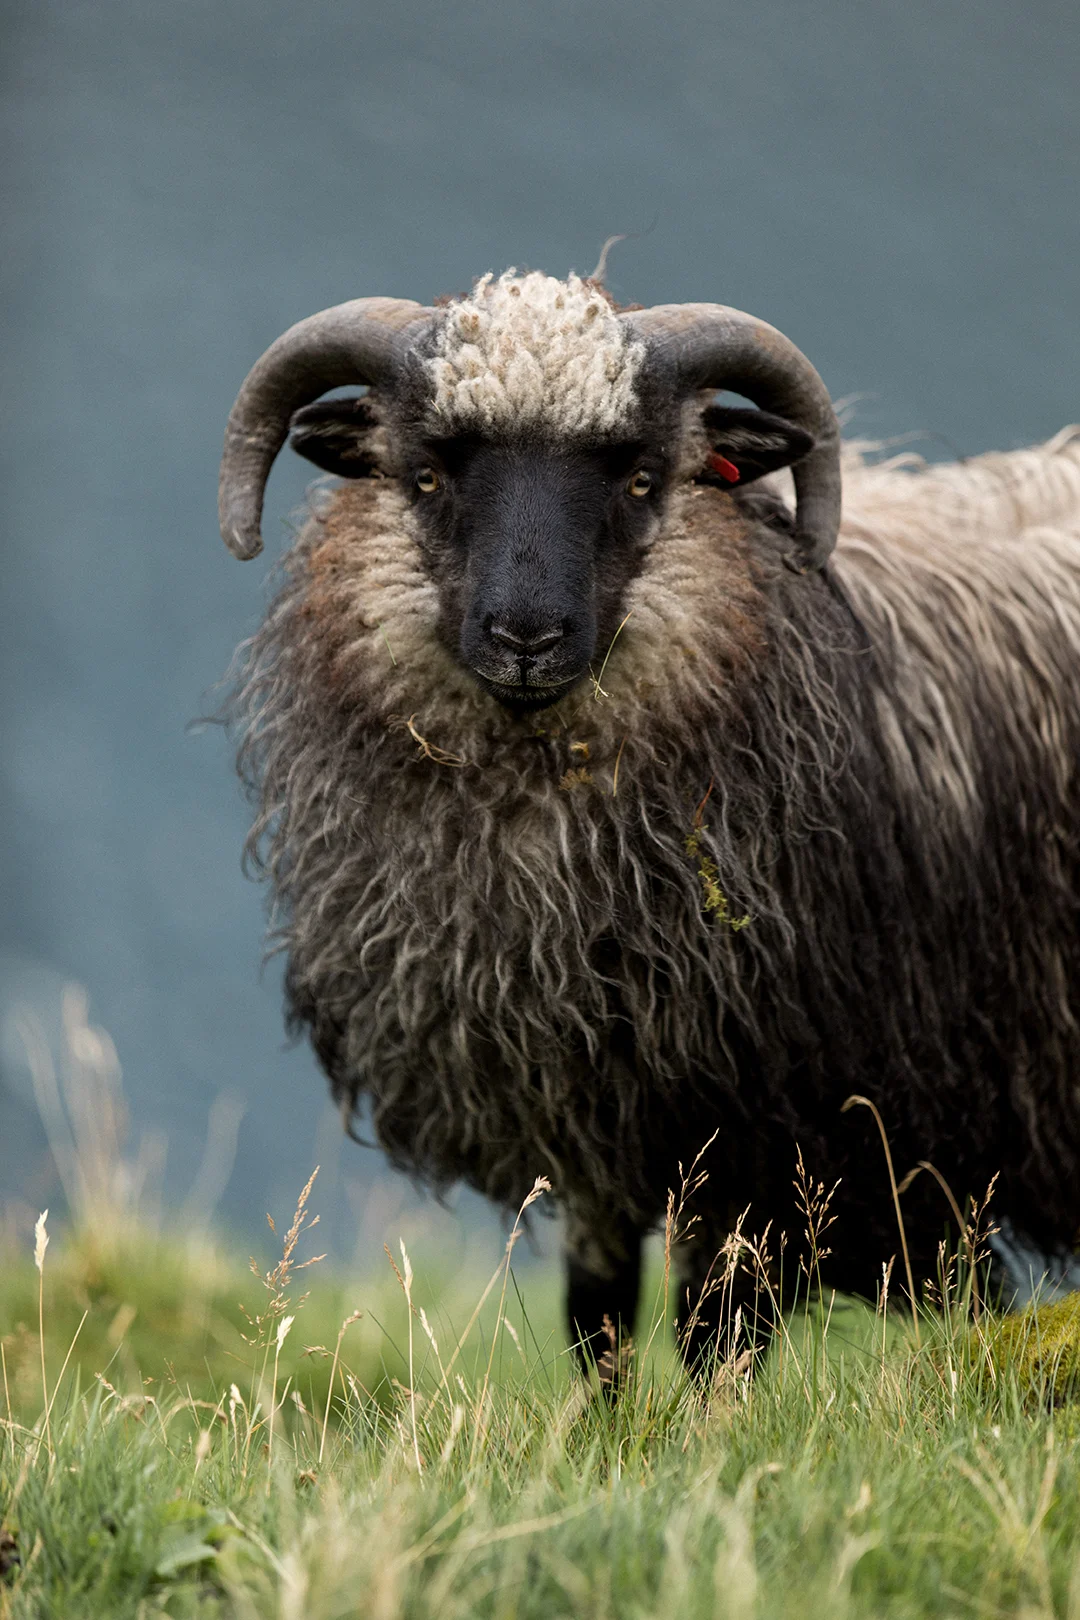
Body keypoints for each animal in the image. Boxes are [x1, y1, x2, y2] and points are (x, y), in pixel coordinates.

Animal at [218, 269, 1080, 1374]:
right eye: (426, 475)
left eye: (637, 480)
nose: (527, 637)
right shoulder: (594, 1111)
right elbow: (597, 1318)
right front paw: (609, 1419)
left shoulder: (761, 1128)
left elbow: (718, 1329)